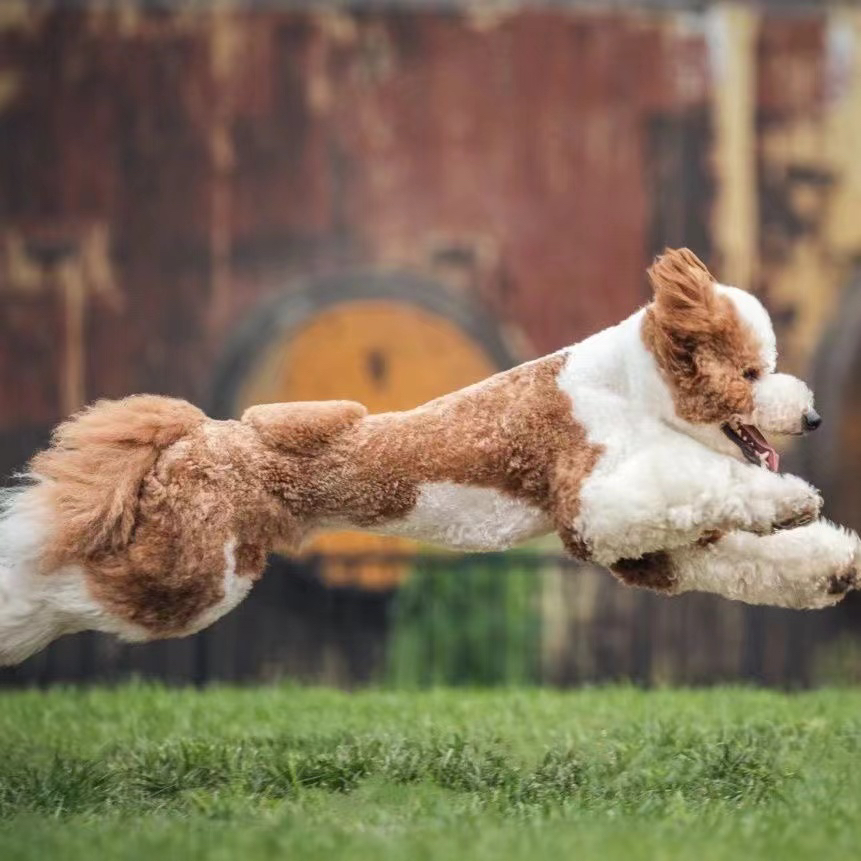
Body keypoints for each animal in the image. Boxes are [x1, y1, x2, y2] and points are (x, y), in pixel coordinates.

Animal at [0, 245, 856, 660]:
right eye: (751, 372)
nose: (814, 414)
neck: (628, 389)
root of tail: (194, 435)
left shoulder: (631, 547)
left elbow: (745, 552)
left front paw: (832, 561)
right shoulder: (598, 499)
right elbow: (700, 480)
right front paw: (791, 499)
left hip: (214, 563)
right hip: (192, 573)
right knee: (65, 583)